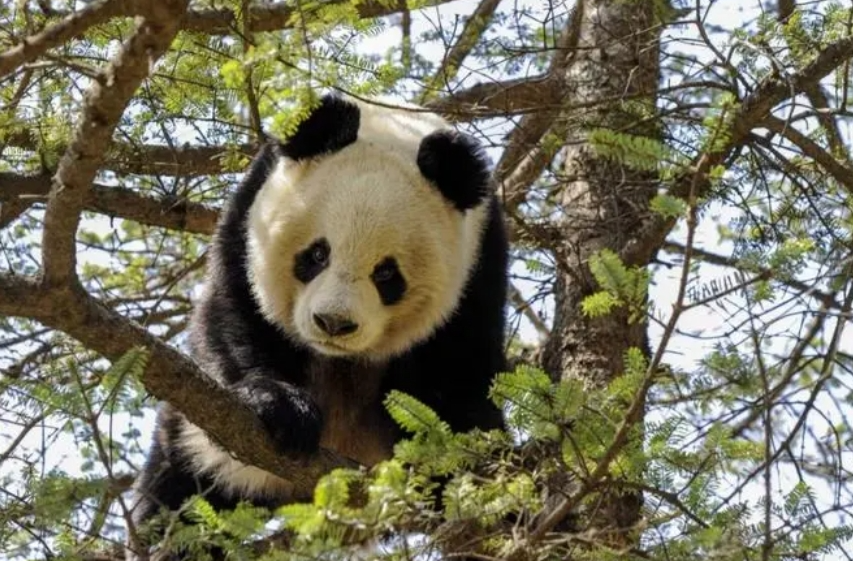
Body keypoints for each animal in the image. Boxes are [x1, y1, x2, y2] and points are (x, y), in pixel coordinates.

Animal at [126, 94, 506, 556]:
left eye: (386, 274)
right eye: (316, 255)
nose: (333, 323)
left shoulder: (478, 263)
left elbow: (459, 371)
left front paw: (454, 467)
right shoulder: (248, 216)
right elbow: (237, 318)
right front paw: (284, 408)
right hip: (206, 442)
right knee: (182, 486)